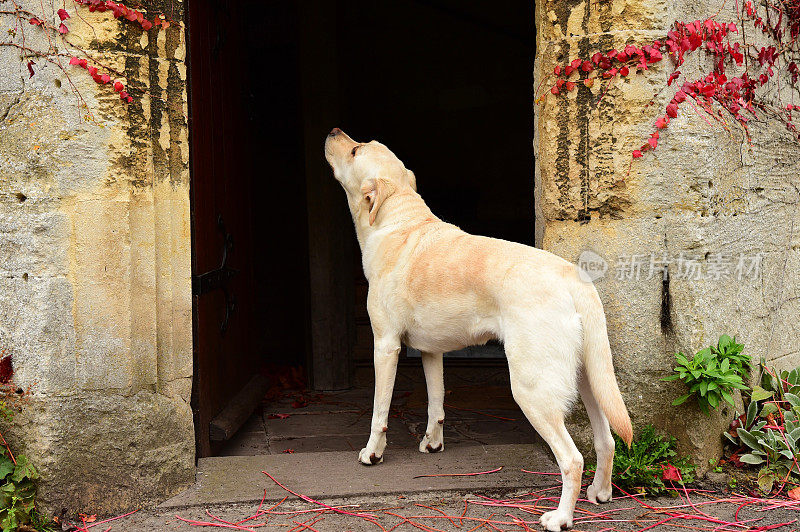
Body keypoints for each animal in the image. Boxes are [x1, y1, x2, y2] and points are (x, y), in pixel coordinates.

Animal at [324, 130, 632, 532]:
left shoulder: (385, 345)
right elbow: (436, 401)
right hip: (589, 380)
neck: (398, 220)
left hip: (532, 390)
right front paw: (432, 444)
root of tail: (573, 276)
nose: (334, 132)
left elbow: (380, 410)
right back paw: (601, 493)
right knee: (606, 441)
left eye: (356, 149)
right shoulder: (431, 351)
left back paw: (561, 517)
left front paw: (372, 454)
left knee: (572, 458)